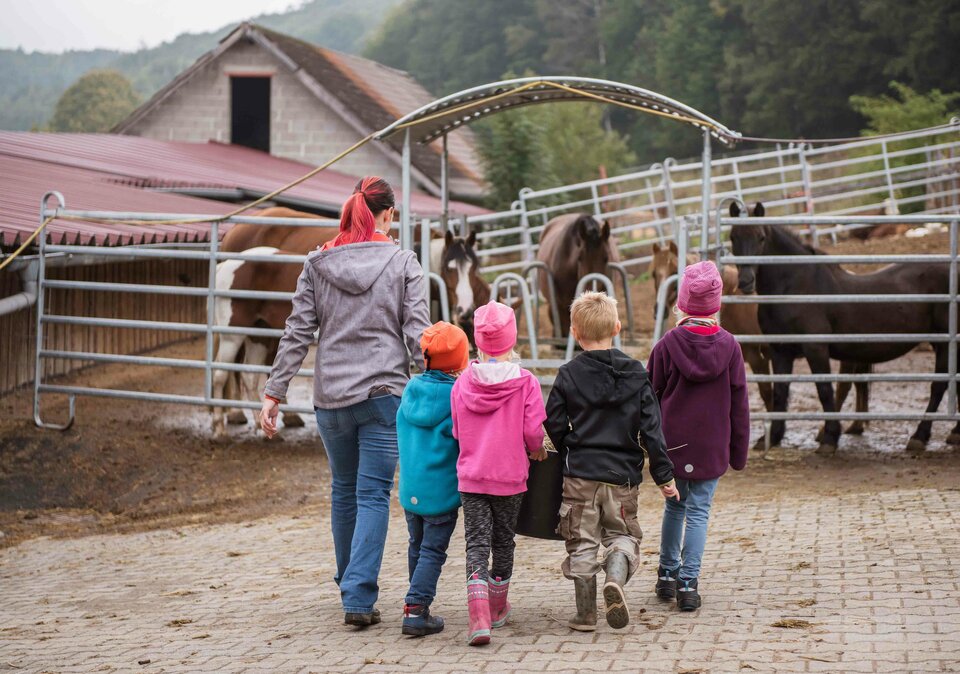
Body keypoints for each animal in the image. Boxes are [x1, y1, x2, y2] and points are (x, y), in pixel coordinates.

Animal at [732, 207, 956, 454]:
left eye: (761, 238)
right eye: (733, 237)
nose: (746, 281)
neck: (795, 288)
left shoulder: (815, 348)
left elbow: (824, 390)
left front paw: (830, 438)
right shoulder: (780, 351)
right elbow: (780, 393)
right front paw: (772, 437)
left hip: (945, 343)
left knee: (938, 386)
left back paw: (920, 436)